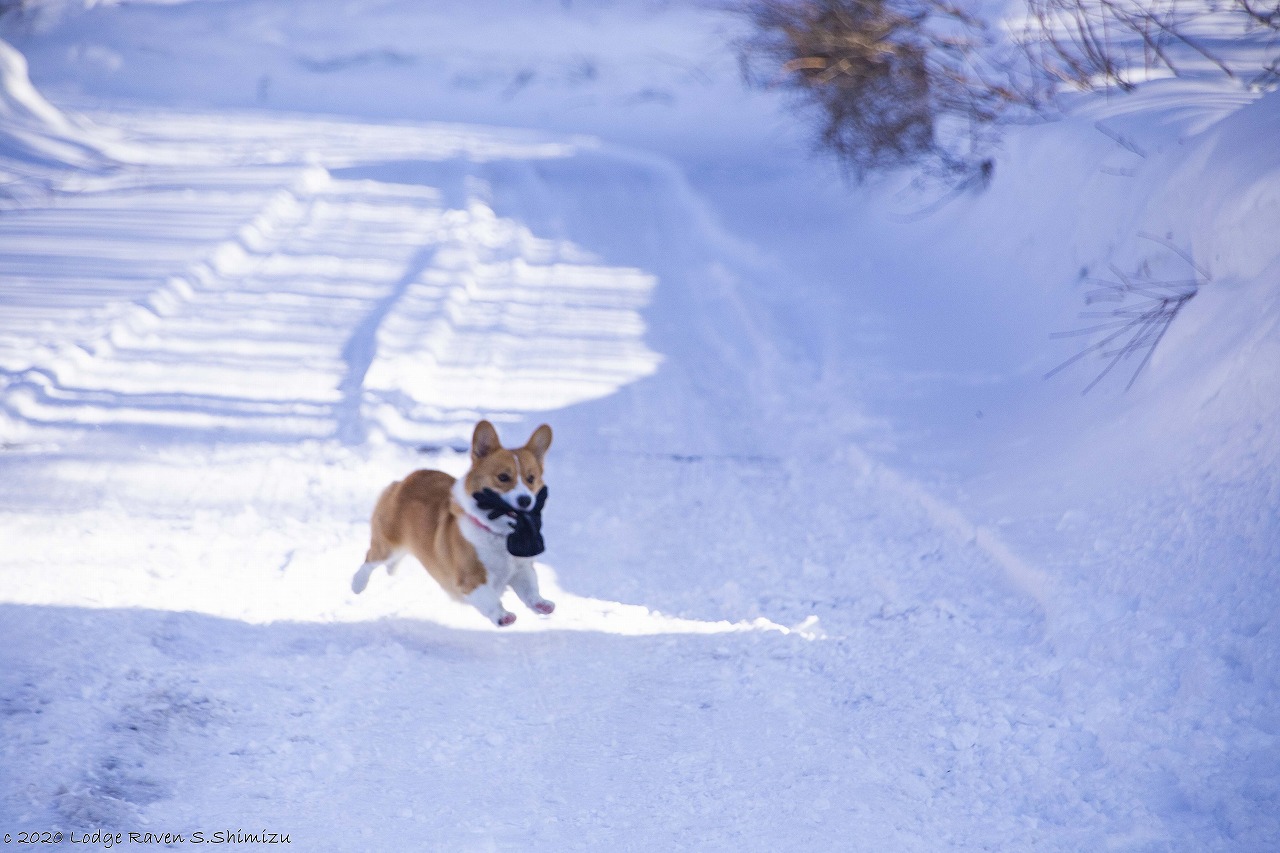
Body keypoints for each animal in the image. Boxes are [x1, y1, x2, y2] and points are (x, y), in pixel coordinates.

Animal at [350, 417, 555, 625]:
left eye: (531, 478)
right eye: (503, 477)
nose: (525, 500)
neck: (496, 533)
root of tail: (404, 481)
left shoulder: (521, 570)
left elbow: (530, 590)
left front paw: (542, 604)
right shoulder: (471, 579)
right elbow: (489, 599)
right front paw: (502, 615)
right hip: (388, 545)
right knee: (371, 558)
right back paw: (357, 584)